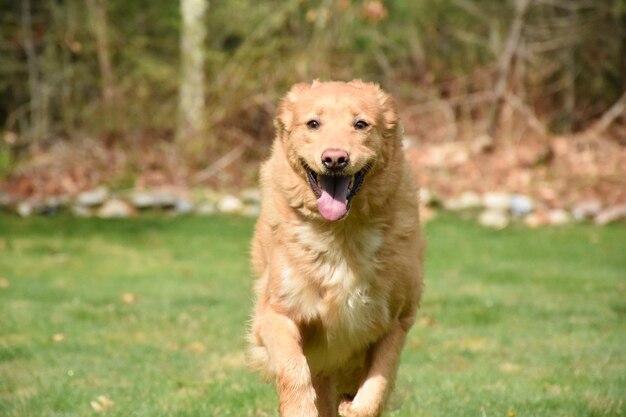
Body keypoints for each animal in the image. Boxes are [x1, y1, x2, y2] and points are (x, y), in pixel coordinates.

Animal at [246, 79, 422, 416]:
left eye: (360, 124)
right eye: (313, 123)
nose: (335, 159)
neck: (341, 233)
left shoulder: (397, 321)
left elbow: (376, 387)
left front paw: (355, 408)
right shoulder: (276, 314)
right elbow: (293, 370)